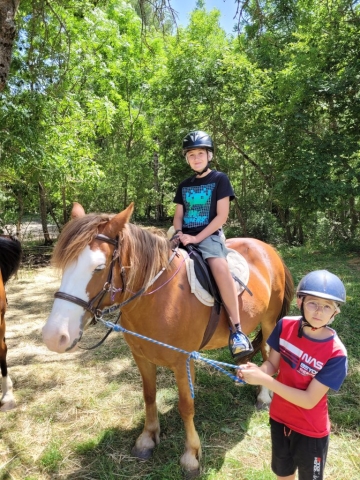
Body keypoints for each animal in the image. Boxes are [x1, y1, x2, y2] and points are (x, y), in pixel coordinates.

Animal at [43, 202, 296, 476]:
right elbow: (149, 395)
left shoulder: (182, 361)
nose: (53, 337)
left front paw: (191, 455)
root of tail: (267, 249)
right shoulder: (141, 357)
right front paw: (147, 438)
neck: (158, 297)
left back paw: (263, 397)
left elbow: (186, 406)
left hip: (269, 321)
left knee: (268, 353)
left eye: (99, 267)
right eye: (64, 265)